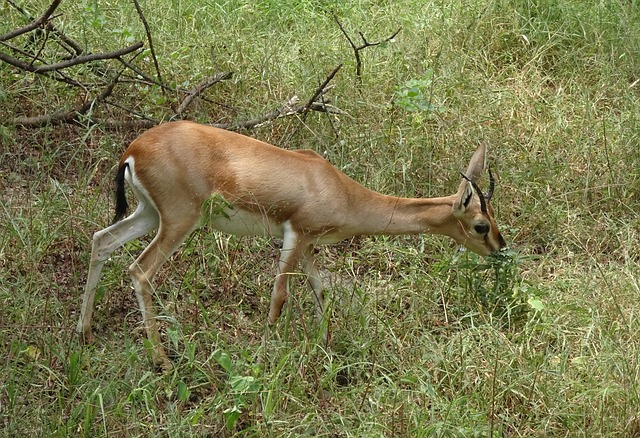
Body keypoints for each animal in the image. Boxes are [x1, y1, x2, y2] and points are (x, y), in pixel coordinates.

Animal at [76, 120, 504, 370]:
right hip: (179, 222)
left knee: (101, 241)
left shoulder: (309, 246)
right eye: (480, 225)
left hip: (149, 215)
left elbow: (320, 293)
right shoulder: (295, 234)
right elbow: (280, 296)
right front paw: (265, 359)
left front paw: (330, 353)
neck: (340, 190)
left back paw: (86, 334)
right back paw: (163, 361)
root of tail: (133, 150)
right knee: (139, 271)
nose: (500, 248)